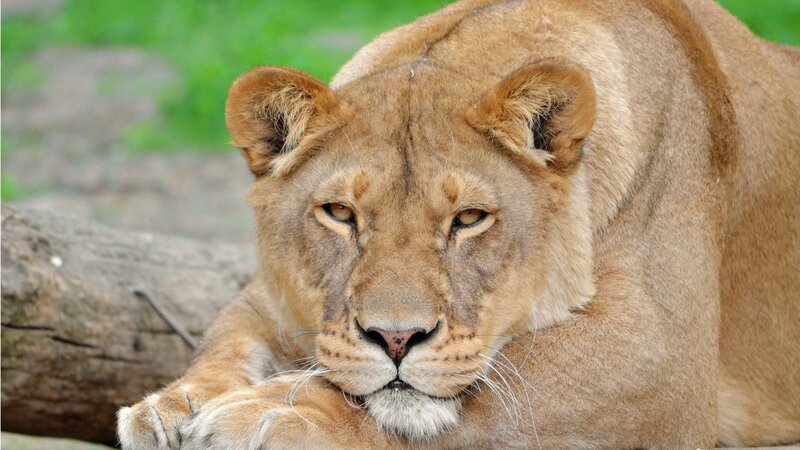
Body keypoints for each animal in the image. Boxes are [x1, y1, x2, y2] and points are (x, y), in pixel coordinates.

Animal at [117, 0, 800, 447]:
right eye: (340, 214)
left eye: (469, 219)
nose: (396, 339)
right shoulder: (272, 295)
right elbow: (227, 338)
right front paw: (170, 406)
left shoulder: (662, 357)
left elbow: (484, 397)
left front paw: (269, 414)